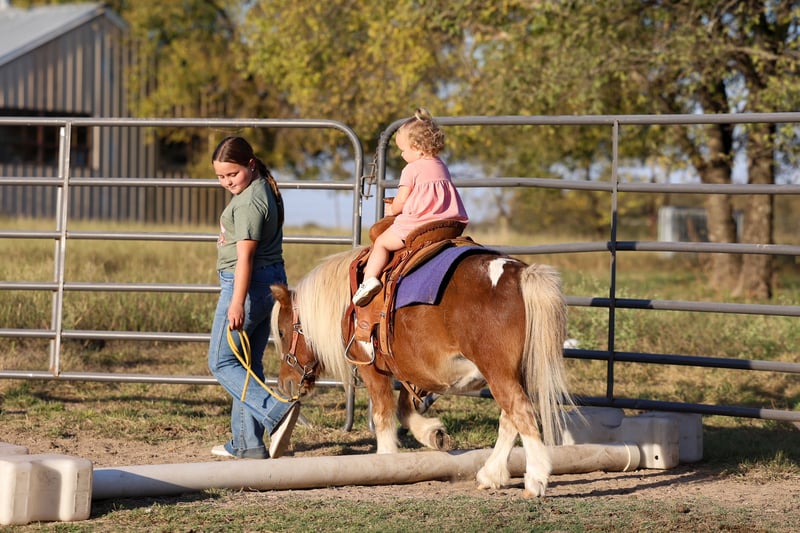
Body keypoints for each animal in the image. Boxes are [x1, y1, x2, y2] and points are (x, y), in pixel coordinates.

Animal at [269, 245, 576, 497]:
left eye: (282, 332)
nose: (285, 383)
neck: (350, 302)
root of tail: (519, 274)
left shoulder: (372, 369)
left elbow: (383, 413)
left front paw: (385, 457)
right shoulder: (413, 370)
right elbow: (406, 409)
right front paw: (434, 434)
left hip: (498, 373)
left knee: (520, 412)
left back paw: (535, 480)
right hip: (511, 373)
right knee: (509, 419)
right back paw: (491, 474)